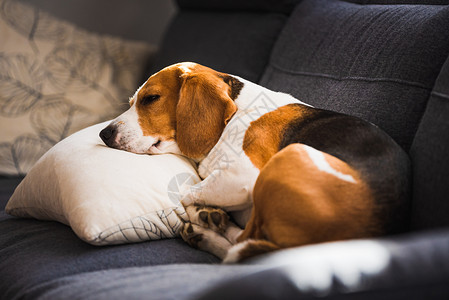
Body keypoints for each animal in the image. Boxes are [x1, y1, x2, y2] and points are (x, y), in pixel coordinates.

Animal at [99, 61, 410, 262]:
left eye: (151, 98)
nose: (104, 134)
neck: (237, 111)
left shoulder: (243, 176)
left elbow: (185, 194)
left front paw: (199, 211)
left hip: (289, 156)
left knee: (241, 243)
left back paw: (205, 229)